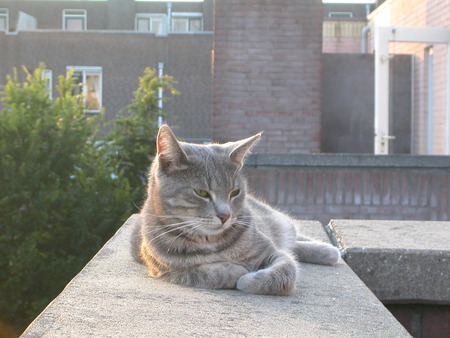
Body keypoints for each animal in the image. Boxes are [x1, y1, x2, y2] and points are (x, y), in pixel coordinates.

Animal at [132, 125, 340, 296]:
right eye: (201, 193)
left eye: (235, 192)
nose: (225, 216)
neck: (211, 241)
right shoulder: (168, 270)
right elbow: (205, 273)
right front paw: (236, 270)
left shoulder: (269, 251)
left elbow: (286, 269)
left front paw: (248, 280)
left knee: (291, 239)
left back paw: (327, 250)